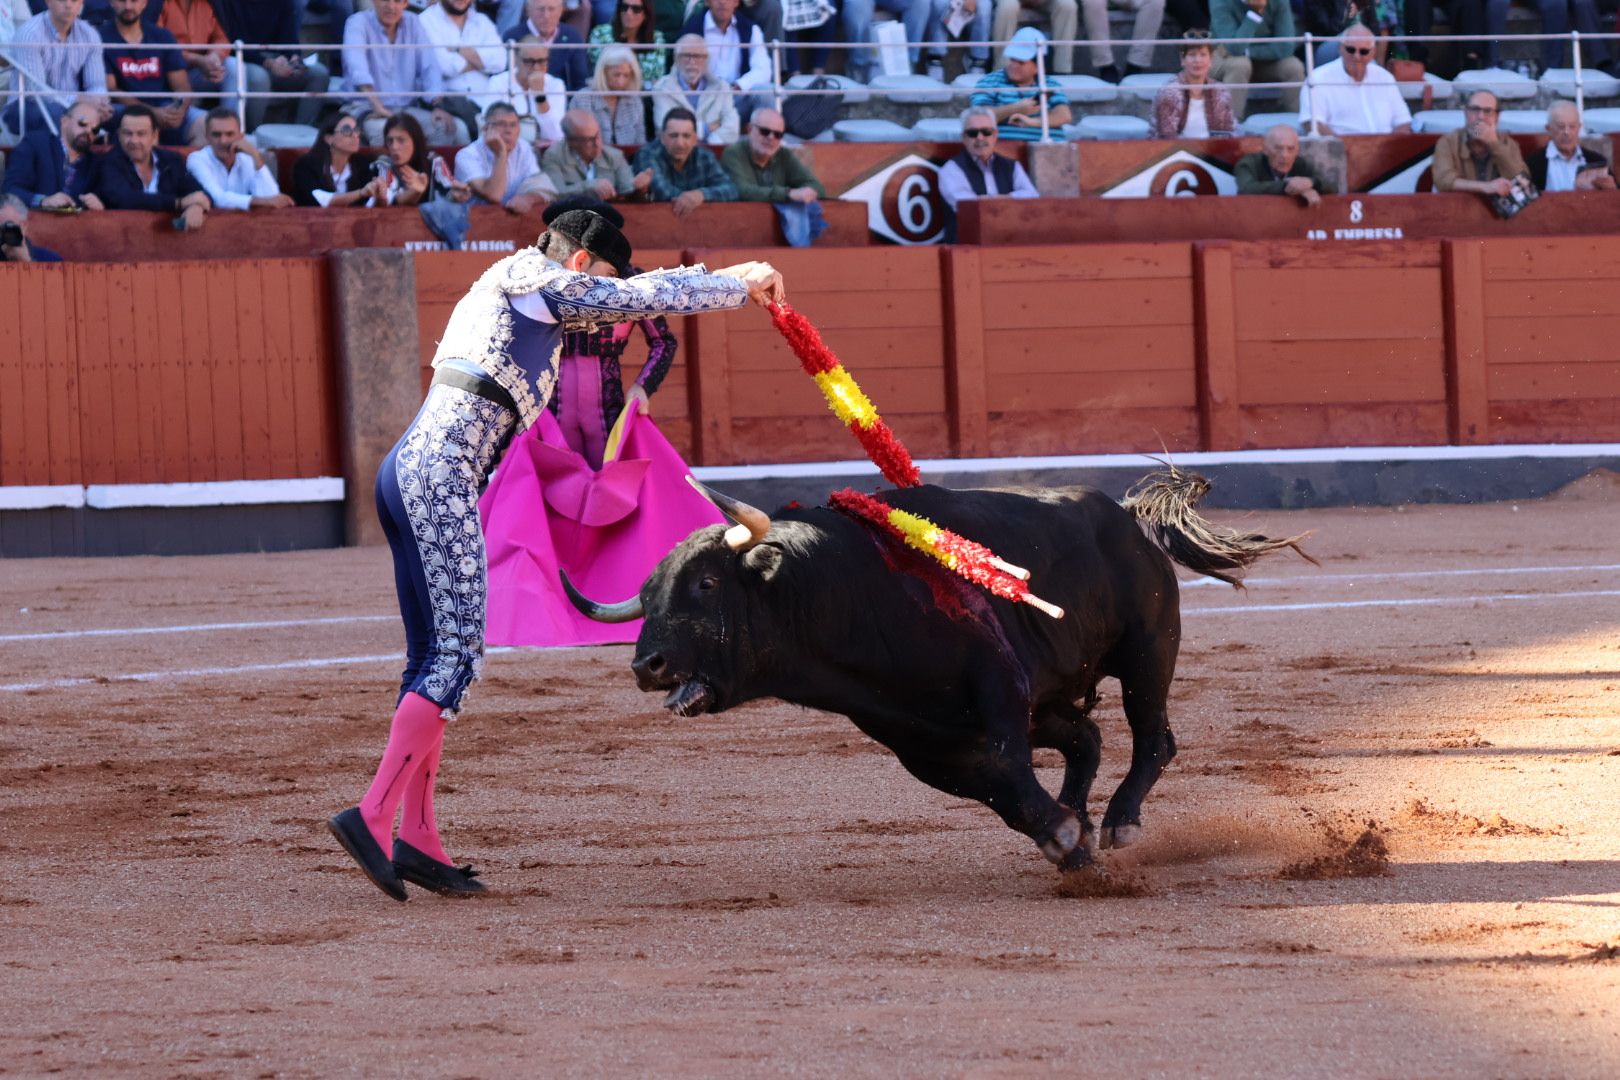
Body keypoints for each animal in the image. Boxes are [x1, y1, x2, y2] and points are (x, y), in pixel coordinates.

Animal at [570, 469, 1315, 874]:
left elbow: (1008, 770)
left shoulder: (997, 682)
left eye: (704, 585)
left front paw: (1068, 837)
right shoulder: (919, 740)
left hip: (1147, 651)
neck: (838, 590)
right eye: (649, 593)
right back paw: (1081, 817)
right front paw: (1064, 837)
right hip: (1051, 697)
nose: (646, 664)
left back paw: (1120, 822)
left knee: (1152, 737)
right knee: (1087, 740)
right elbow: (999, 791)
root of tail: (1127, 518)